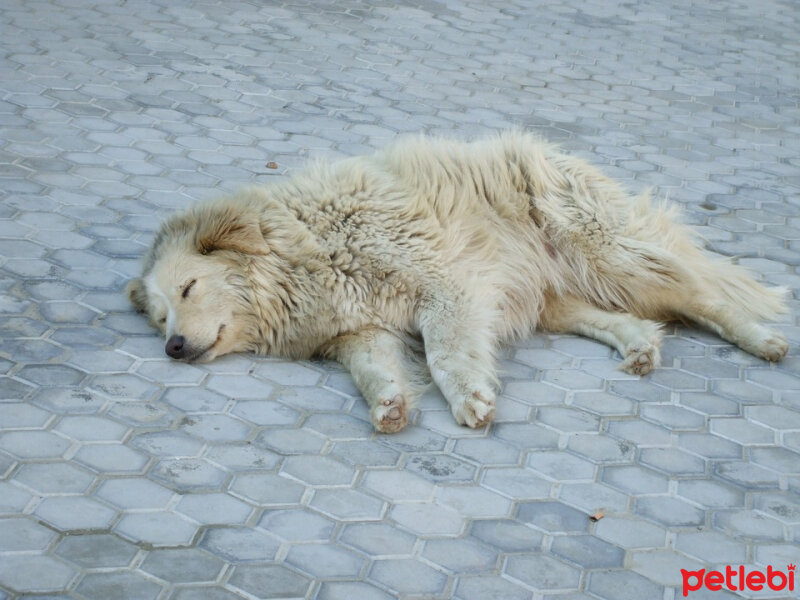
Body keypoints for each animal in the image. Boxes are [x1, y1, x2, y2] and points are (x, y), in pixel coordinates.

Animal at [128, 132, 792, 432]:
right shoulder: (359, 330)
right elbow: (371, 370)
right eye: (159, 320)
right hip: (551, 295)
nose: (174, 348)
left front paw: (470, 396)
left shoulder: (447, 287)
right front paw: (390, 403)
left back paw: (761, 340)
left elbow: (446, 354)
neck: (305, 251)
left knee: (702, 297)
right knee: (627, 319)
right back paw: (638, 348)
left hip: (605, 252)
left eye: (187, 290)